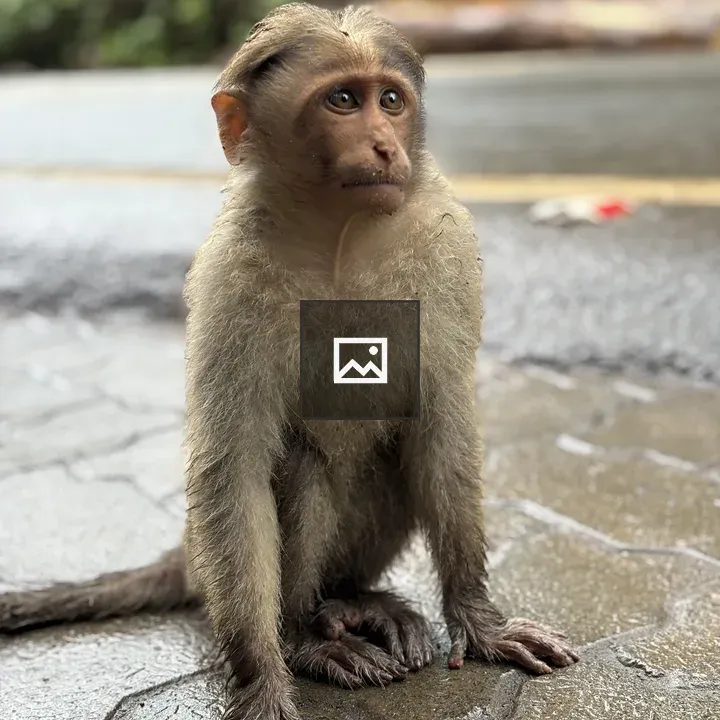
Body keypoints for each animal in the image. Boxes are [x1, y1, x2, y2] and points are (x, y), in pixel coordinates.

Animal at [0, 4, 580, 720]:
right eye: (342, 101)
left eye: (390, 101)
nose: (384, 146)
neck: (339, 237)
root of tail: (185, 553)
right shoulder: (229, 276)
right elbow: (236, 466)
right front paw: (262, 681)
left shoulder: (445, 245)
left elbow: (440, 421)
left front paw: (479, 621)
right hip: (213, 558)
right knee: (301, 465)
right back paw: (309, 630)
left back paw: (354, 599)